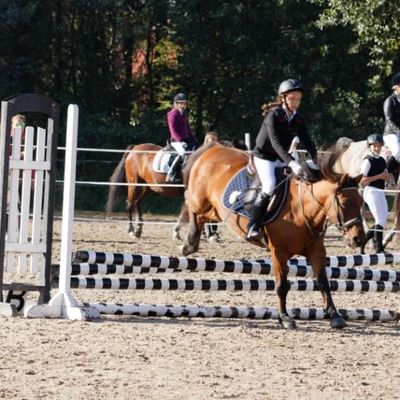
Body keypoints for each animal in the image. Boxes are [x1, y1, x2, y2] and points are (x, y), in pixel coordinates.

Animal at [178, 143, 366, 328]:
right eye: (344, 203)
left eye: (361, 203)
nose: (358, 239)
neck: (302, 209)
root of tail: (213, 147)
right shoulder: (278, 252)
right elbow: (282, 285)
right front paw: (285, 318)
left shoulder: (317, 251)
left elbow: (324, 283)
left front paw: (335, 316)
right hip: (200, 200)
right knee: (190, 205)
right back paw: (188, 243)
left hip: (216, 210)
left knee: (202, 216)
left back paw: (191, 243)